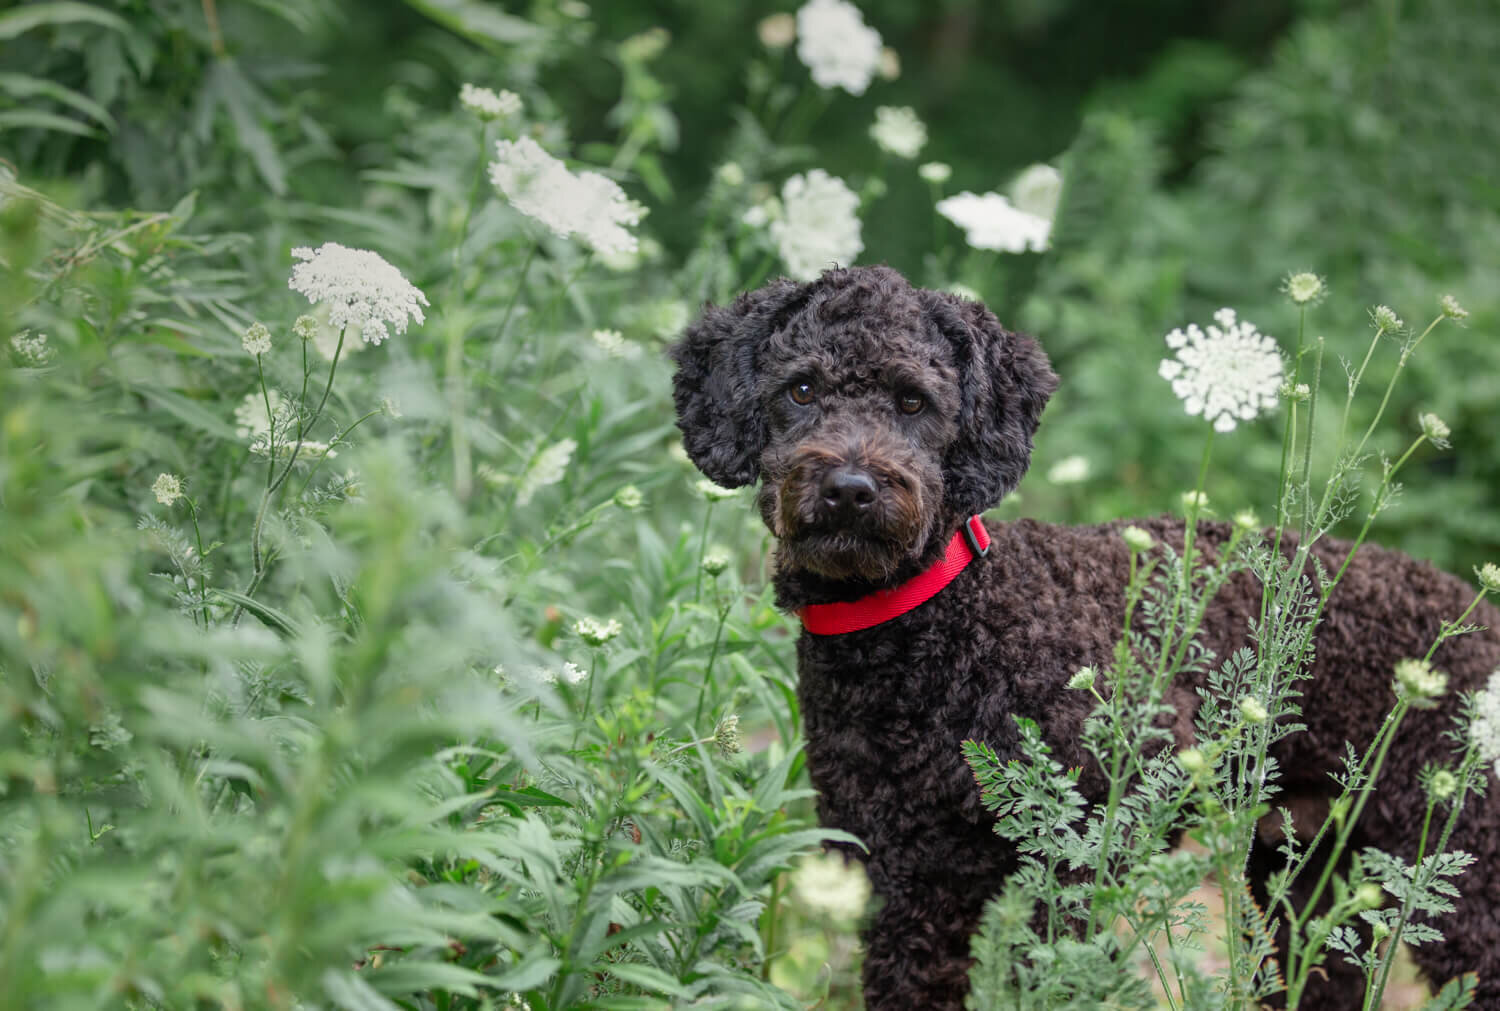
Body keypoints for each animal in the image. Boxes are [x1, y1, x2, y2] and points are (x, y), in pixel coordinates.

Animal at [672, 264, 1500, 1002]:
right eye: (801, 390)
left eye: (912, 401)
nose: (850, 487)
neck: (931, 638)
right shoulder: (900, 877)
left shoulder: (1074, 849)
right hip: (1309, 870)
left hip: (1465, 873)